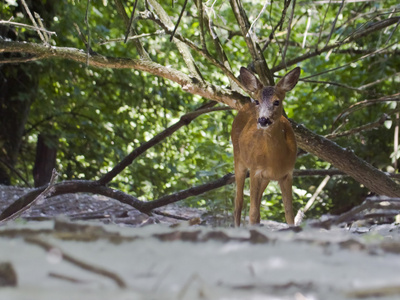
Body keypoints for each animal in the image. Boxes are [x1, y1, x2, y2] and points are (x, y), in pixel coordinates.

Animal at [231, 67, 300, 226]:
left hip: (266, 178)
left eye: (277, 101)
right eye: (258, 101)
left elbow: (289, 214)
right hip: (239, 159)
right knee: (239, 202)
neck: (275, 160)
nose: (263, 120)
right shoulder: (255, 170)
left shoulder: (287, 173)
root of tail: (245, 105)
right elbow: (252, 212)